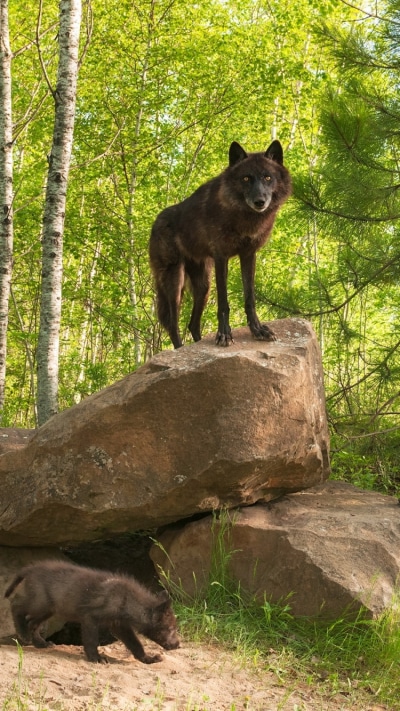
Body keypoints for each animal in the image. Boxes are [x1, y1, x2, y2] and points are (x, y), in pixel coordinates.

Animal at [5, 560, 180, 664]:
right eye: (171, 628)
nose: (178, 645)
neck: (125, 599)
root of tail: (31, 569)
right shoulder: (90, 617)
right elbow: (90, 641)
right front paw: (96, 658)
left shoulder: (119, 626)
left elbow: (135, 644)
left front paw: (148, 659)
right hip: (40, 603)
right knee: (16, 605)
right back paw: (23, 634)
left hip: (48, 610)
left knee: (32, 623)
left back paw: (40, 643)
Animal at [149, 139, 292, 348]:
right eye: (246, 178)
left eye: (267, 177)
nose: (259, 201)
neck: (243, 217)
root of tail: (155, 223)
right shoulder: (221, 257)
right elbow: (224, 303)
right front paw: (224, 334)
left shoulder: (248, 255)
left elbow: (250, 298)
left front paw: (257, 330)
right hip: (174, 283)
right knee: (173, 325)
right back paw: (180, 350)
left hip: (203, 286)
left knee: (192, 324)